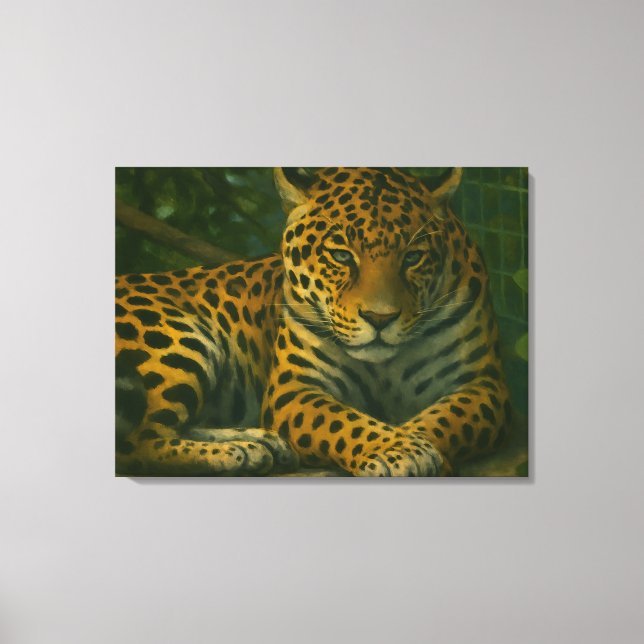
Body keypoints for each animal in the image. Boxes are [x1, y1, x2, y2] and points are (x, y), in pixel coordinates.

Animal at [115, 167, 511, 476]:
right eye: (341, 256)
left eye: (413, 258)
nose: (380, 318)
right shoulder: (295, 388)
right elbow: (344, 421)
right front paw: (400, 450)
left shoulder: (482, 384)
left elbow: (439, 419)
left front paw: (414, 447)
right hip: (175, 341)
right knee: (137, 444)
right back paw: (234, 453)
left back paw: (259, 444)